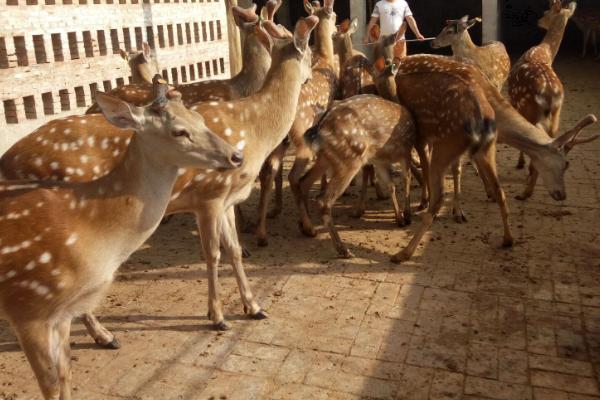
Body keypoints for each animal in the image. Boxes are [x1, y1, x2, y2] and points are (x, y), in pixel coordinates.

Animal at [0, 79, 241, 400]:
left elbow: (65, 372)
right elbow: (50, 385)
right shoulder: (27, 308)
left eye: (200, 118)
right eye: (179, 131)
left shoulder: (62, 313)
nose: (236, 156)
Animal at [1, 18, 318, 344]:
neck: (255, 127)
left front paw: (253, 307)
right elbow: (213, 253)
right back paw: (104, 335)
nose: (313, 74)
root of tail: (6, 160)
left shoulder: (228, 199)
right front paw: (217, 317)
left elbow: (235, 250)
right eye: (309, 51)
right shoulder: (209, 196)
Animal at [508, 0, 576, 188]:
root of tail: (550, 95)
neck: (545, 52)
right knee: (551, 142)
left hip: (530, 108)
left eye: (546, 12)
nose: (539, 21)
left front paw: (520, 163)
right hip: (556, 115)